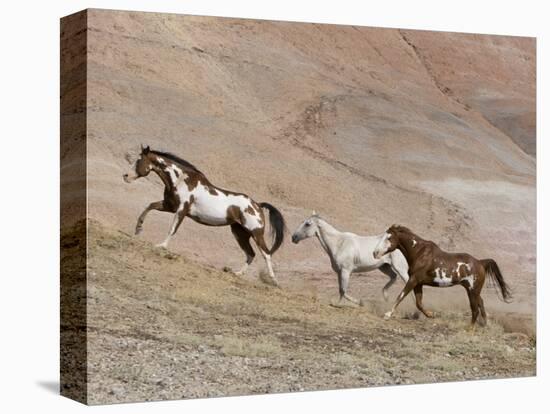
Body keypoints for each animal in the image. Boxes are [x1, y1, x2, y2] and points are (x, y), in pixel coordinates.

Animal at [124, 146, 286, 288]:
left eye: (139, 161)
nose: (125, 176)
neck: (181, 180)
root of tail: (258, 205)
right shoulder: (169, 206)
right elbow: (149, 206)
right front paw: (138, 229)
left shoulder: (181, 210)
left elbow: (172, 229)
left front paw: (161, 246)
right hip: (239, 233)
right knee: (250, 254)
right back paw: (237, 273)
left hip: (256, 233)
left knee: (266, 254)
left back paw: (274, 281)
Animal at [374, 225, 516, 326]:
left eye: (388, 238)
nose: (375, 253)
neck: (419, 253)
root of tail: (480, 263)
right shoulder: (419, 283)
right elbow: (419, 303)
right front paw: (431, 315)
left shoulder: (413, 280)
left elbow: (401, 296)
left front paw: (387, 315)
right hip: (472, 289)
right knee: (480, 302)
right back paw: (485, 324)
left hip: (473, 290)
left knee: (475, 308)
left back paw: (470, 328)